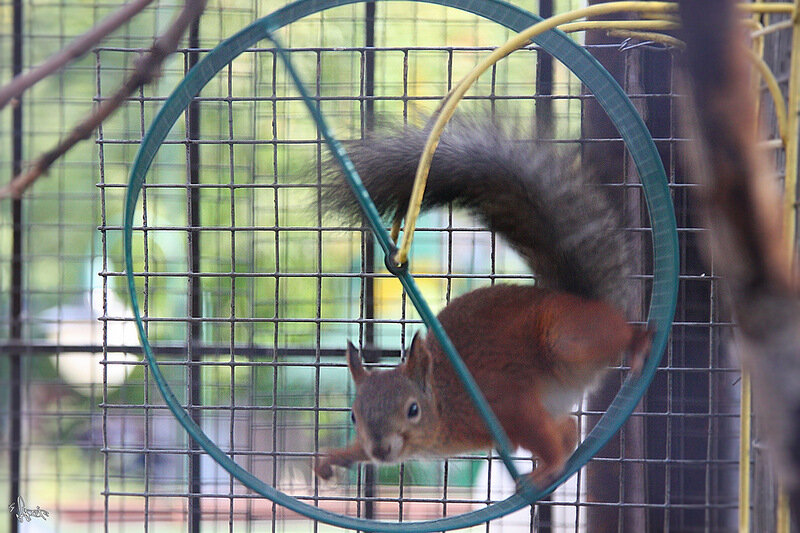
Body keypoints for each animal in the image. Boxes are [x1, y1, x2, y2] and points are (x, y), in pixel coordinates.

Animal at [310, 114, 648, 484]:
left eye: (413, 409)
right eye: (354, 416)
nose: (381, 450)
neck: (442, 402)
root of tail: (583, 300)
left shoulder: (510, 404)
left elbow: (540, 434)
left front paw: (551, 467)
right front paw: (334, 457)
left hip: (566, 339)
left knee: (619, 338)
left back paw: (640, 343)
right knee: (571, 426)